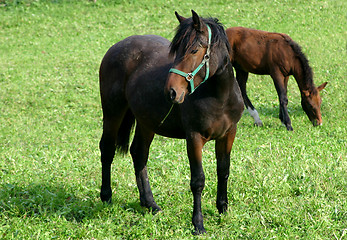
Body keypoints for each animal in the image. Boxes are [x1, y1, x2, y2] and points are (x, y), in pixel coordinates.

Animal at [99, 9, 243, 234]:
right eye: (176, 52)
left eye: (194, 50)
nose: (171, 92)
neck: (220, 97)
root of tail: (116, 46)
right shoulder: (194, 138)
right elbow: (198, 180)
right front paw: (198, 223)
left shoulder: (228, 134)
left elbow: (224, 171)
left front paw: (223, 209)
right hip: (113, 113)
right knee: (107, 149)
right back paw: (106, 196)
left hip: (146, 122)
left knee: (139, 154)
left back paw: (150, 204)